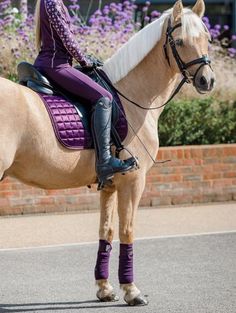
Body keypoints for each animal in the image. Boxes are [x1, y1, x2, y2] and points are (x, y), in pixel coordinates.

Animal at [0, 0, 214, 306]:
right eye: (181, 41)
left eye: (207, 38)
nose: (207, 80)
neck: (130, 96)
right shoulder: (133, 182)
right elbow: (127, 230)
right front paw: (132, 291)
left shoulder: (111, 185)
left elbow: (106, 231)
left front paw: (105, 288)